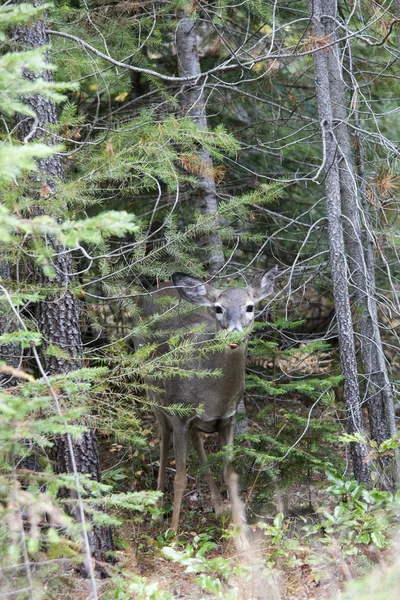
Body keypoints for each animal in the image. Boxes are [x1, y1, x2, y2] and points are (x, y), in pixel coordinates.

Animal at [141, 268, 278, 548]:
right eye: (218, 308)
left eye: (250, 306)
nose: (234, 335)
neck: (215, 394)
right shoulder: (180, 416)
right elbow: (181, 478)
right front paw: (173, 537)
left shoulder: (229, 419)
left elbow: (231, 474)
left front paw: (242, 537)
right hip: (154, 391)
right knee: (163, 440)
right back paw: (158, 510)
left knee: (197, 441)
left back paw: (217, 505)